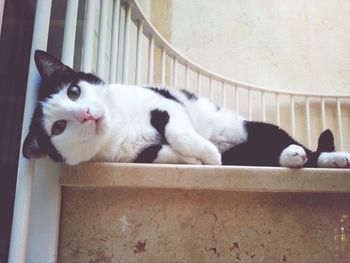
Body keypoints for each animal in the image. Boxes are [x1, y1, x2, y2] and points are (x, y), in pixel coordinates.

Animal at [22, 49, 350, 169]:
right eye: (59, 127)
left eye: (73, 91)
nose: (86, 114)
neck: (119, 126)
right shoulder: (136, 155)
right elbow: (162, 151)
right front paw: (196, 160)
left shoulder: (165, 105)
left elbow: (176, 131)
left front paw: (208, 154)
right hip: (249, 152)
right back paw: (292, 159)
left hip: (256, 128)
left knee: (306, 149)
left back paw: (331, 158)